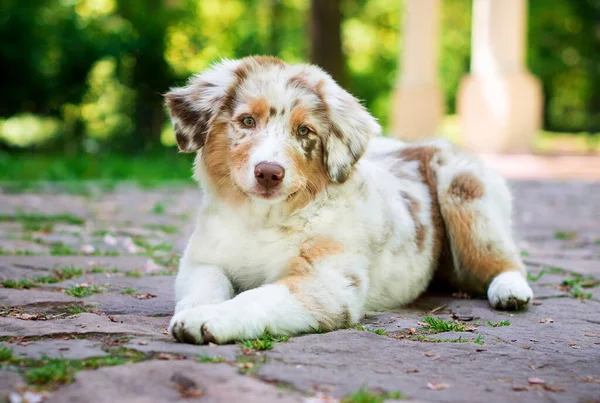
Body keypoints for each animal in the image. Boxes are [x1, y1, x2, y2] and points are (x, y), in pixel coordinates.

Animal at [162, 56, 532, 348]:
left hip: (464, 192)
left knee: (503, 259)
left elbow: (256, 297)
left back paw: (510, 291)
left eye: (305, 132)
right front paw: (196, 309)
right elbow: (204, 286)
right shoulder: (203, 260)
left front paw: (207, 319)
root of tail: (428, 143)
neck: (264, 218)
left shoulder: (325, 284)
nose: (269, 173)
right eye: (247, 121)